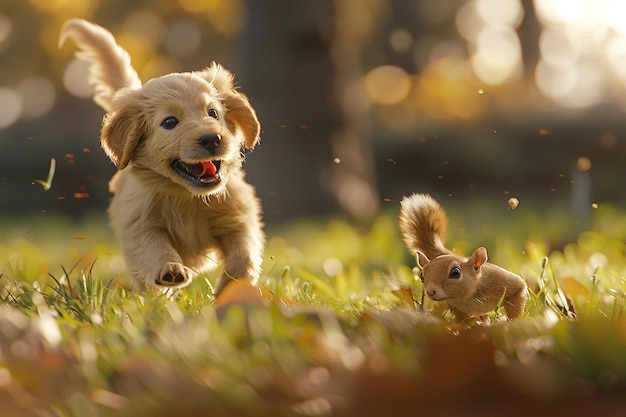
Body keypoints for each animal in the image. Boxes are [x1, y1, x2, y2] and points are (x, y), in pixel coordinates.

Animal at [59, 17, 264, 294]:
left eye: (213, 113)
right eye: (169, 122)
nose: (212, 139)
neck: (187, 197)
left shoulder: (238, 218)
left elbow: (243, 254)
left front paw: (232, 290)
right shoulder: (140, 225)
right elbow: (155, 248)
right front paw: (170, 269)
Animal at [398, 193, 524, 322]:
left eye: (455, 272)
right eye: (421, 276)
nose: (430, 291)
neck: (469, 296)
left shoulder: (504, 283)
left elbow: (517, 295)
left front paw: (513, 322)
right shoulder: (458, 308)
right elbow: (460, 321)